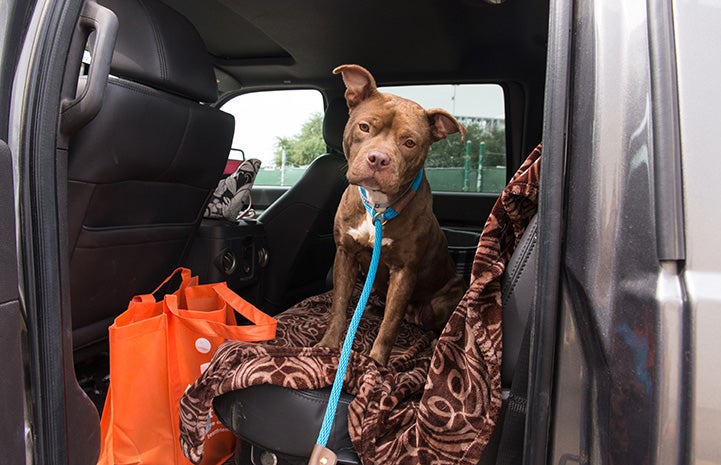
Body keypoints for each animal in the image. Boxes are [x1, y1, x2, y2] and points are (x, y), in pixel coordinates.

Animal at [316, 64, 466, 366]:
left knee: (434, 323)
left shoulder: (404, 271)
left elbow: (390, 323)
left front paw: (376, 363)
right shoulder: (345, 254)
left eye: (409, 142)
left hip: (444, 297)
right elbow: (338, 305)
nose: (378, 158)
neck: (377, 208)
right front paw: (328, 345)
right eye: (364, 127)